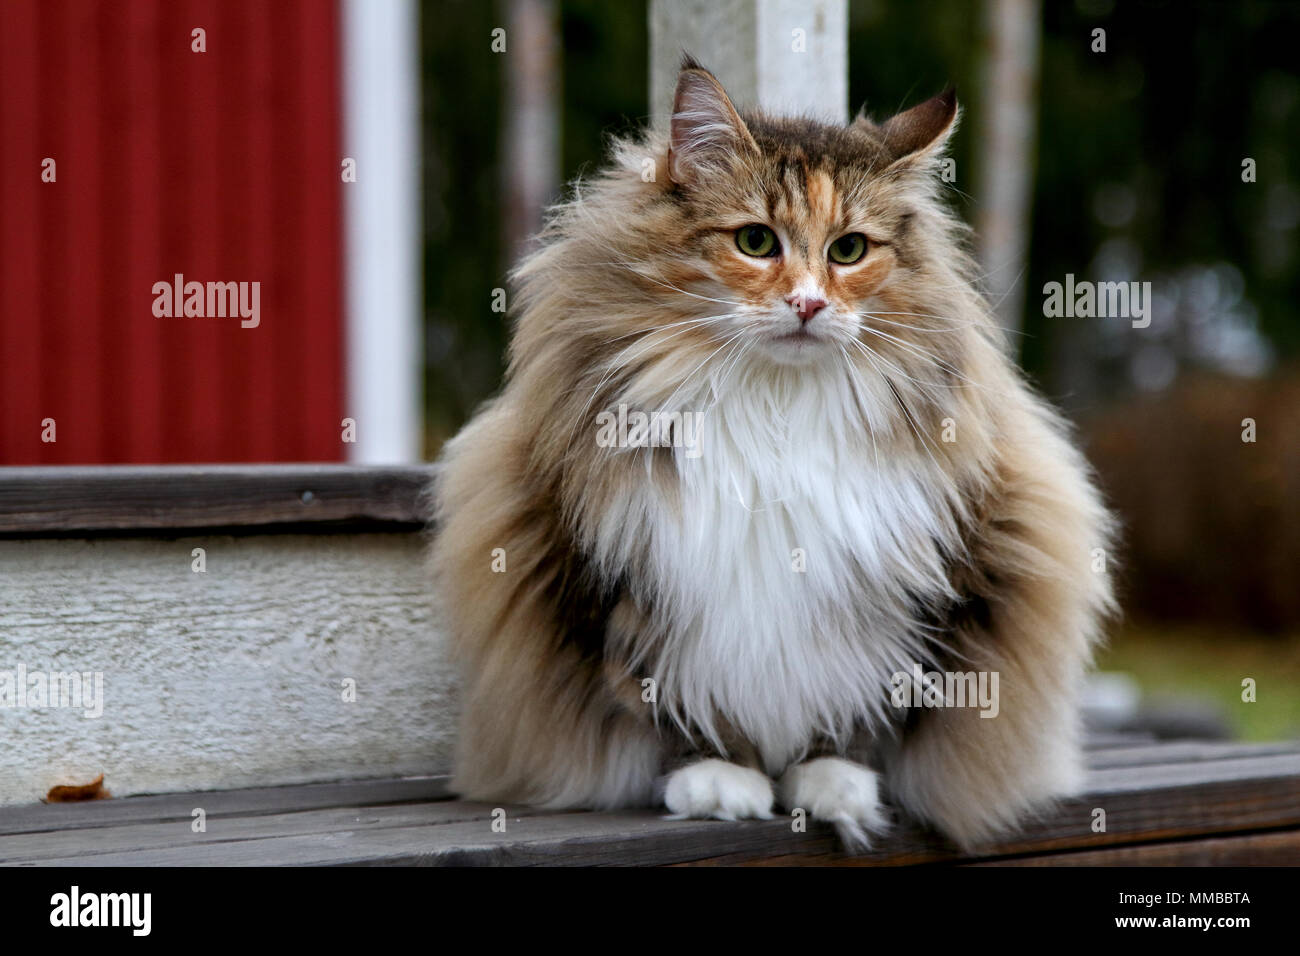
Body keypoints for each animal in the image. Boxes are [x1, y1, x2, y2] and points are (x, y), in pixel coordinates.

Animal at [428, 57, 1118, 853]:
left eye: (848, 250)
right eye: (756, 242)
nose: (809, 305)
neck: (775, 409)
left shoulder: (914, 585)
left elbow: (863, 704)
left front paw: (833, 782)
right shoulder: (627, 579)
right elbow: (667, 698)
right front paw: (720, 780)